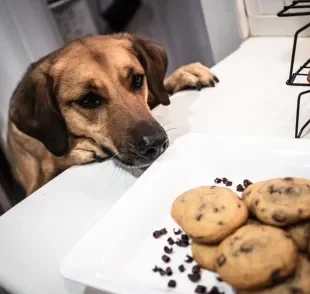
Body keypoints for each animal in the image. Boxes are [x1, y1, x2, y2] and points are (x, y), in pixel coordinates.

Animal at [6, 33, 218, 195]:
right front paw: (77, 149)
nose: (156, 144)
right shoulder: (34, 184)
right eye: (88, 99)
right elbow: (51, 160)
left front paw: (183, 74)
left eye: (137, 79)